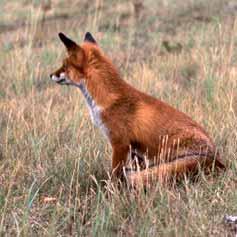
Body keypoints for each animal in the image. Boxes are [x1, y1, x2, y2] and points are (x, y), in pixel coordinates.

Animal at [50, 32, 226, 187]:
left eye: (64, 66)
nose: (50, 75)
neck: (106, 99)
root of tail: (220, 163)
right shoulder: (134, 149)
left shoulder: (120, 143)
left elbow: (115, 174)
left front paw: (111, 191)